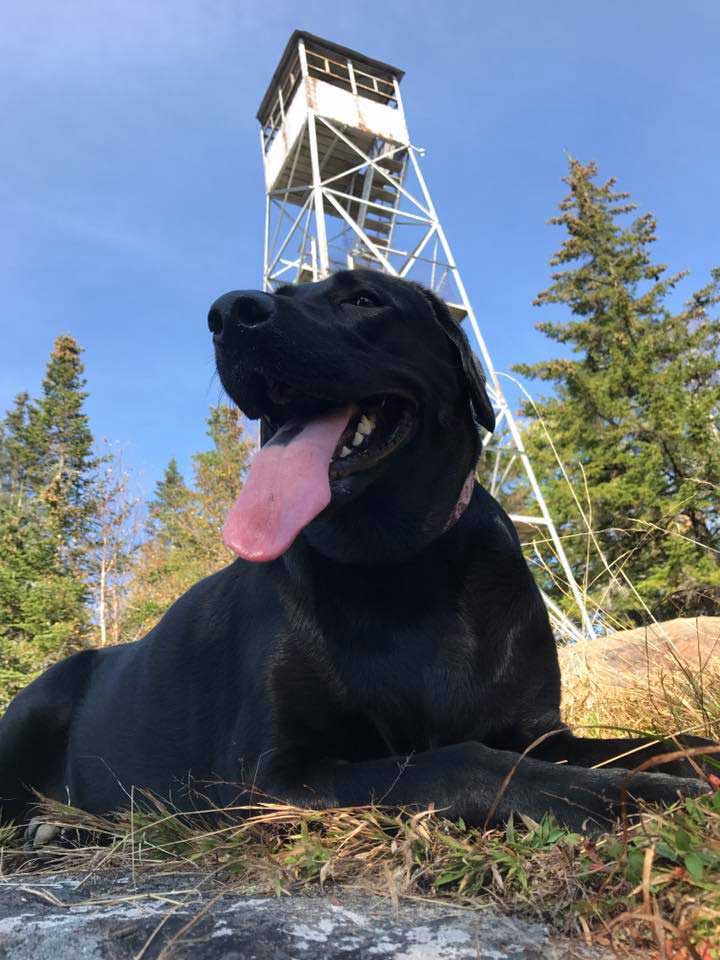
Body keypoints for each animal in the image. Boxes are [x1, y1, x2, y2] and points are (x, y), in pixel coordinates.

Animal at [0, 268, 712, 832]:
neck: (399, 564)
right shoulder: (273, 773)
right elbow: (464, 762)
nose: (228, 312)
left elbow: (664, 740)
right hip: (35, 708)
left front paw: (685, 764)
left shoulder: (539, 731)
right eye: (280, 293)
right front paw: (635, 796)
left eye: (365, 300)